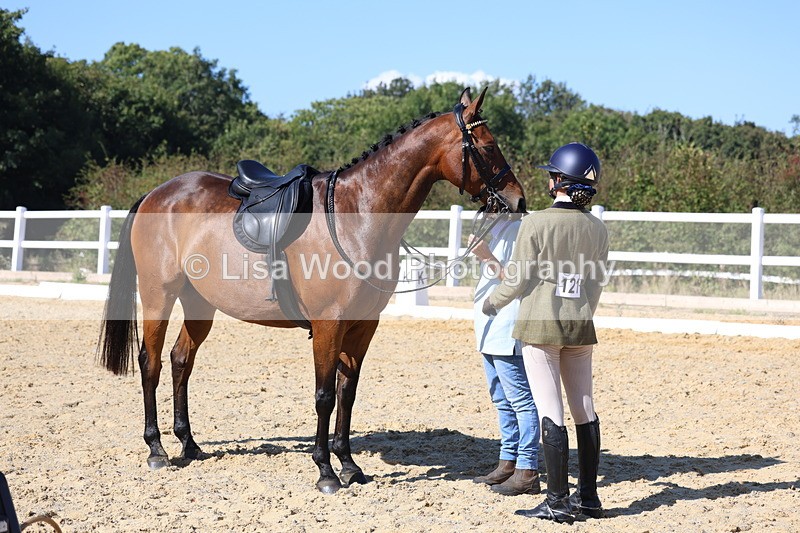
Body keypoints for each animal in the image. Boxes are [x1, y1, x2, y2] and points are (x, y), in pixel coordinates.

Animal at [98, 87, 526, 493]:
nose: (519, 200)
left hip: (199, 303)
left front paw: (350, 466)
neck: (358, 213)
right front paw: (326, 472)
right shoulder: (328, 325)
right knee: (150, 362)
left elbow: (346, 393)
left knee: (180, 360)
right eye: (488, 146)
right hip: (159, 295)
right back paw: (156, 448)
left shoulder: (362, 326)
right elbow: (324, 396)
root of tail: (157, 194)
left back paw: (189, 445)